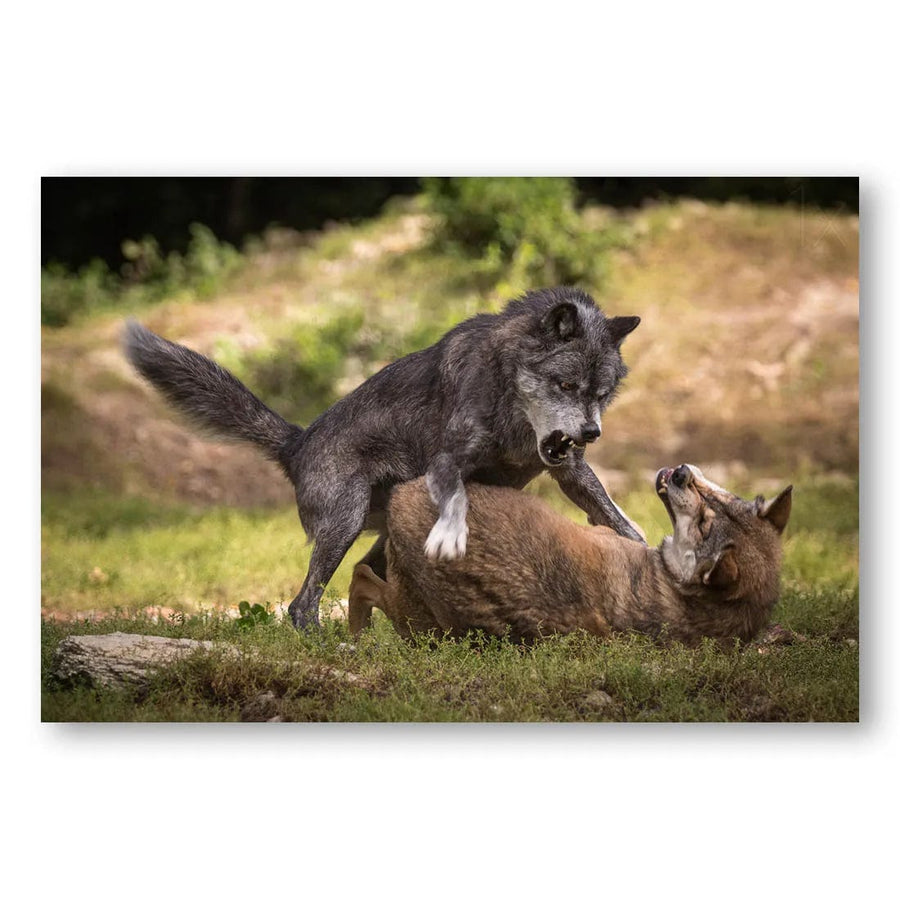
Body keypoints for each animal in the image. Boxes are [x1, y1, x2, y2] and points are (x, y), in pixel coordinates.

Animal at [123, 286, 642, 629]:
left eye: (601, 394)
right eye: (566, 385)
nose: (591, 433)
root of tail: (296, 443)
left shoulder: (570, 471)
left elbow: (617, 518)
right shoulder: (445, 463)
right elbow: (456, 500)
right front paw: (451, 538)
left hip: (377, 535)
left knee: (360, 578)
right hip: (345, 523)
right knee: (301, 603)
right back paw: (326, 644)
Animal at [348, 464, 793, 647]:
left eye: (704, 523)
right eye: (717, 499)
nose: (681, 472)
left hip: (407, 609)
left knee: (361, 578)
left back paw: (356, 635)